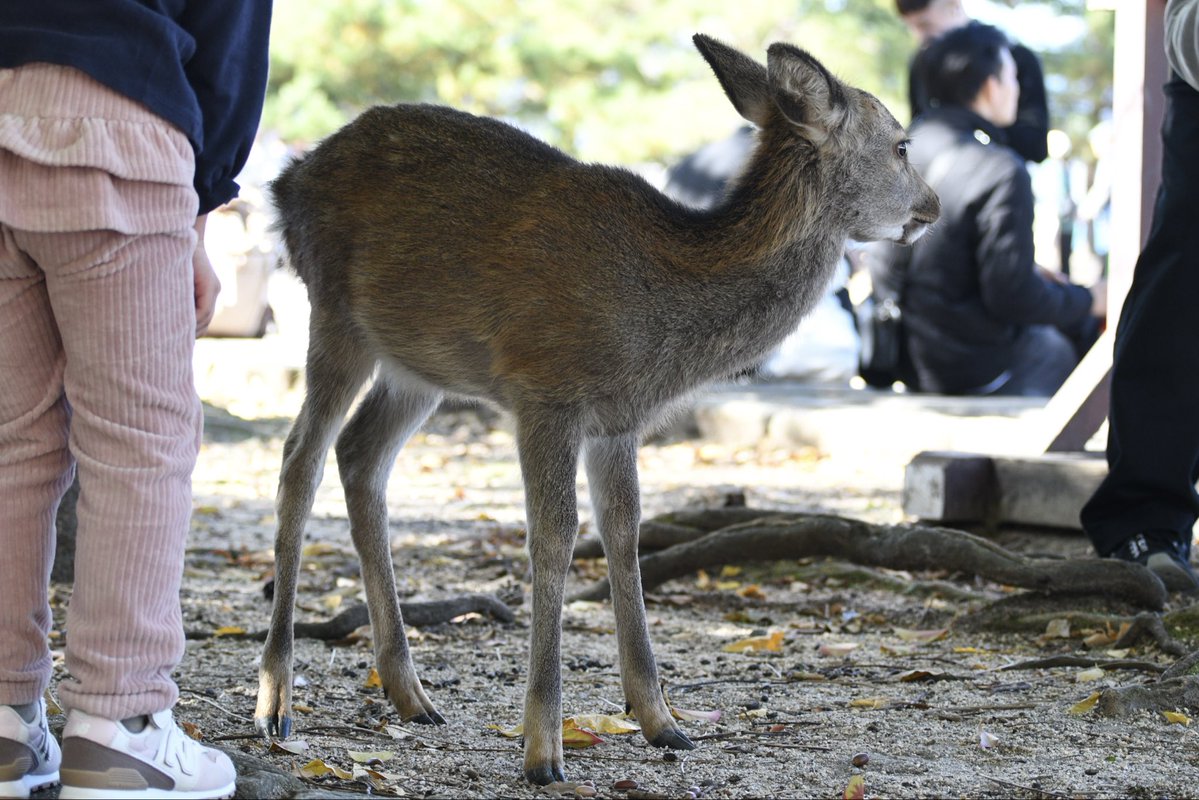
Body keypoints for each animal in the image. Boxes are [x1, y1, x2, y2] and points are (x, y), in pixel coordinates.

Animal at [253, 33, 939, 784]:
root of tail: (284, 182)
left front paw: (662, 721)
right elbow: (554, 537)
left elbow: (624, 531)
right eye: (901, 144)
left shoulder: (618, 421)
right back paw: (276, 701)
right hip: (334, 313)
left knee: (360, 455)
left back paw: (411, 694)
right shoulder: (543, 390)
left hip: (418, 366)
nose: (934, 205)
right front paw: (543, 751)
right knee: (300, 458)